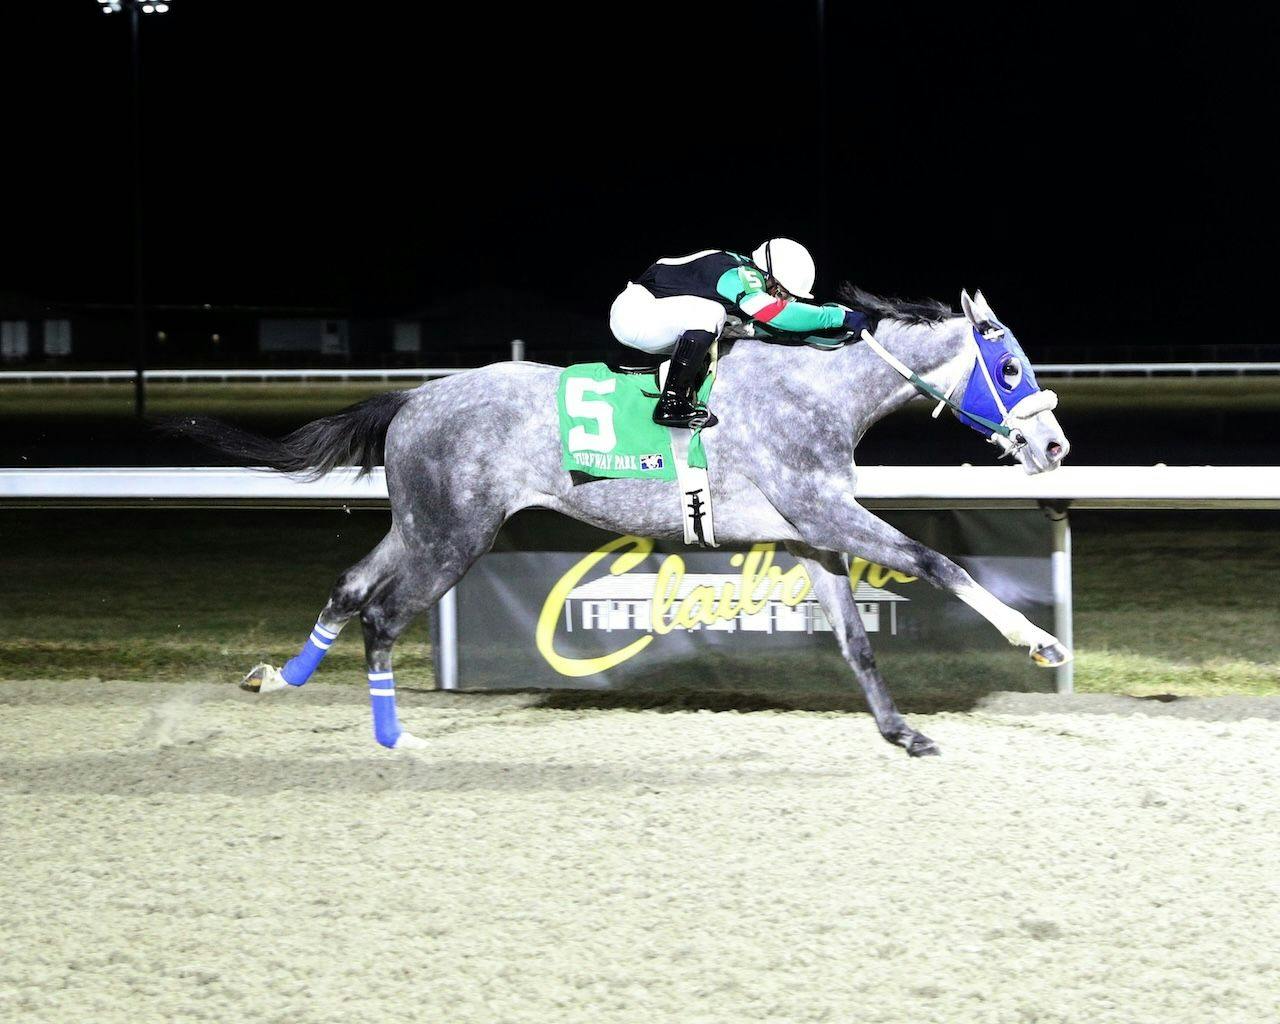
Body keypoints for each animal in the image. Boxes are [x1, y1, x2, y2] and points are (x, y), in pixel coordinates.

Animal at [172, 284, 1070, 757]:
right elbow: (937, 563)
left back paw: (278, 678)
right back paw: (395, 737)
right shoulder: (826, 509)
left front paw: (902, 731)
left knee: (349, 587)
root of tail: (413, 398)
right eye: (1009, 367)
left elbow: (856, 639)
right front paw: (1039, 641)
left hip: (419, 525)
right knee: (384, 615)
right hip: (455, 536)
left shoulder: (810, 532)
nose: (1053, 444)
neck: (817, 389)